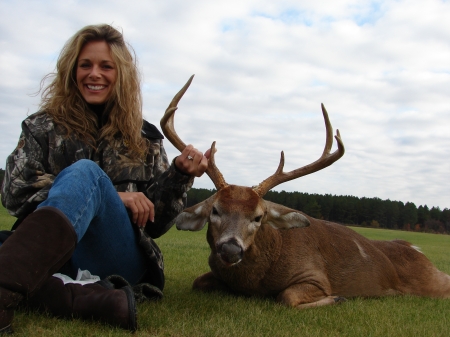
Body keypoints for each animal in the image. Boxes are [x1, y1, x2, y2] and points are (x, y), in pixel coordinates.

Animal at [161, 75, 450, 308]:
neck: (255, 281)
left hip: (434, 283)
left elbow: (286, 297)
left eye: (258, 217)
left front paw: (338, 297)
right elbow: (198, 282)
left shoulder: (315, 275)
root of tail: (415, 248)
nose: (231, 250)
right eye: (215, 211)